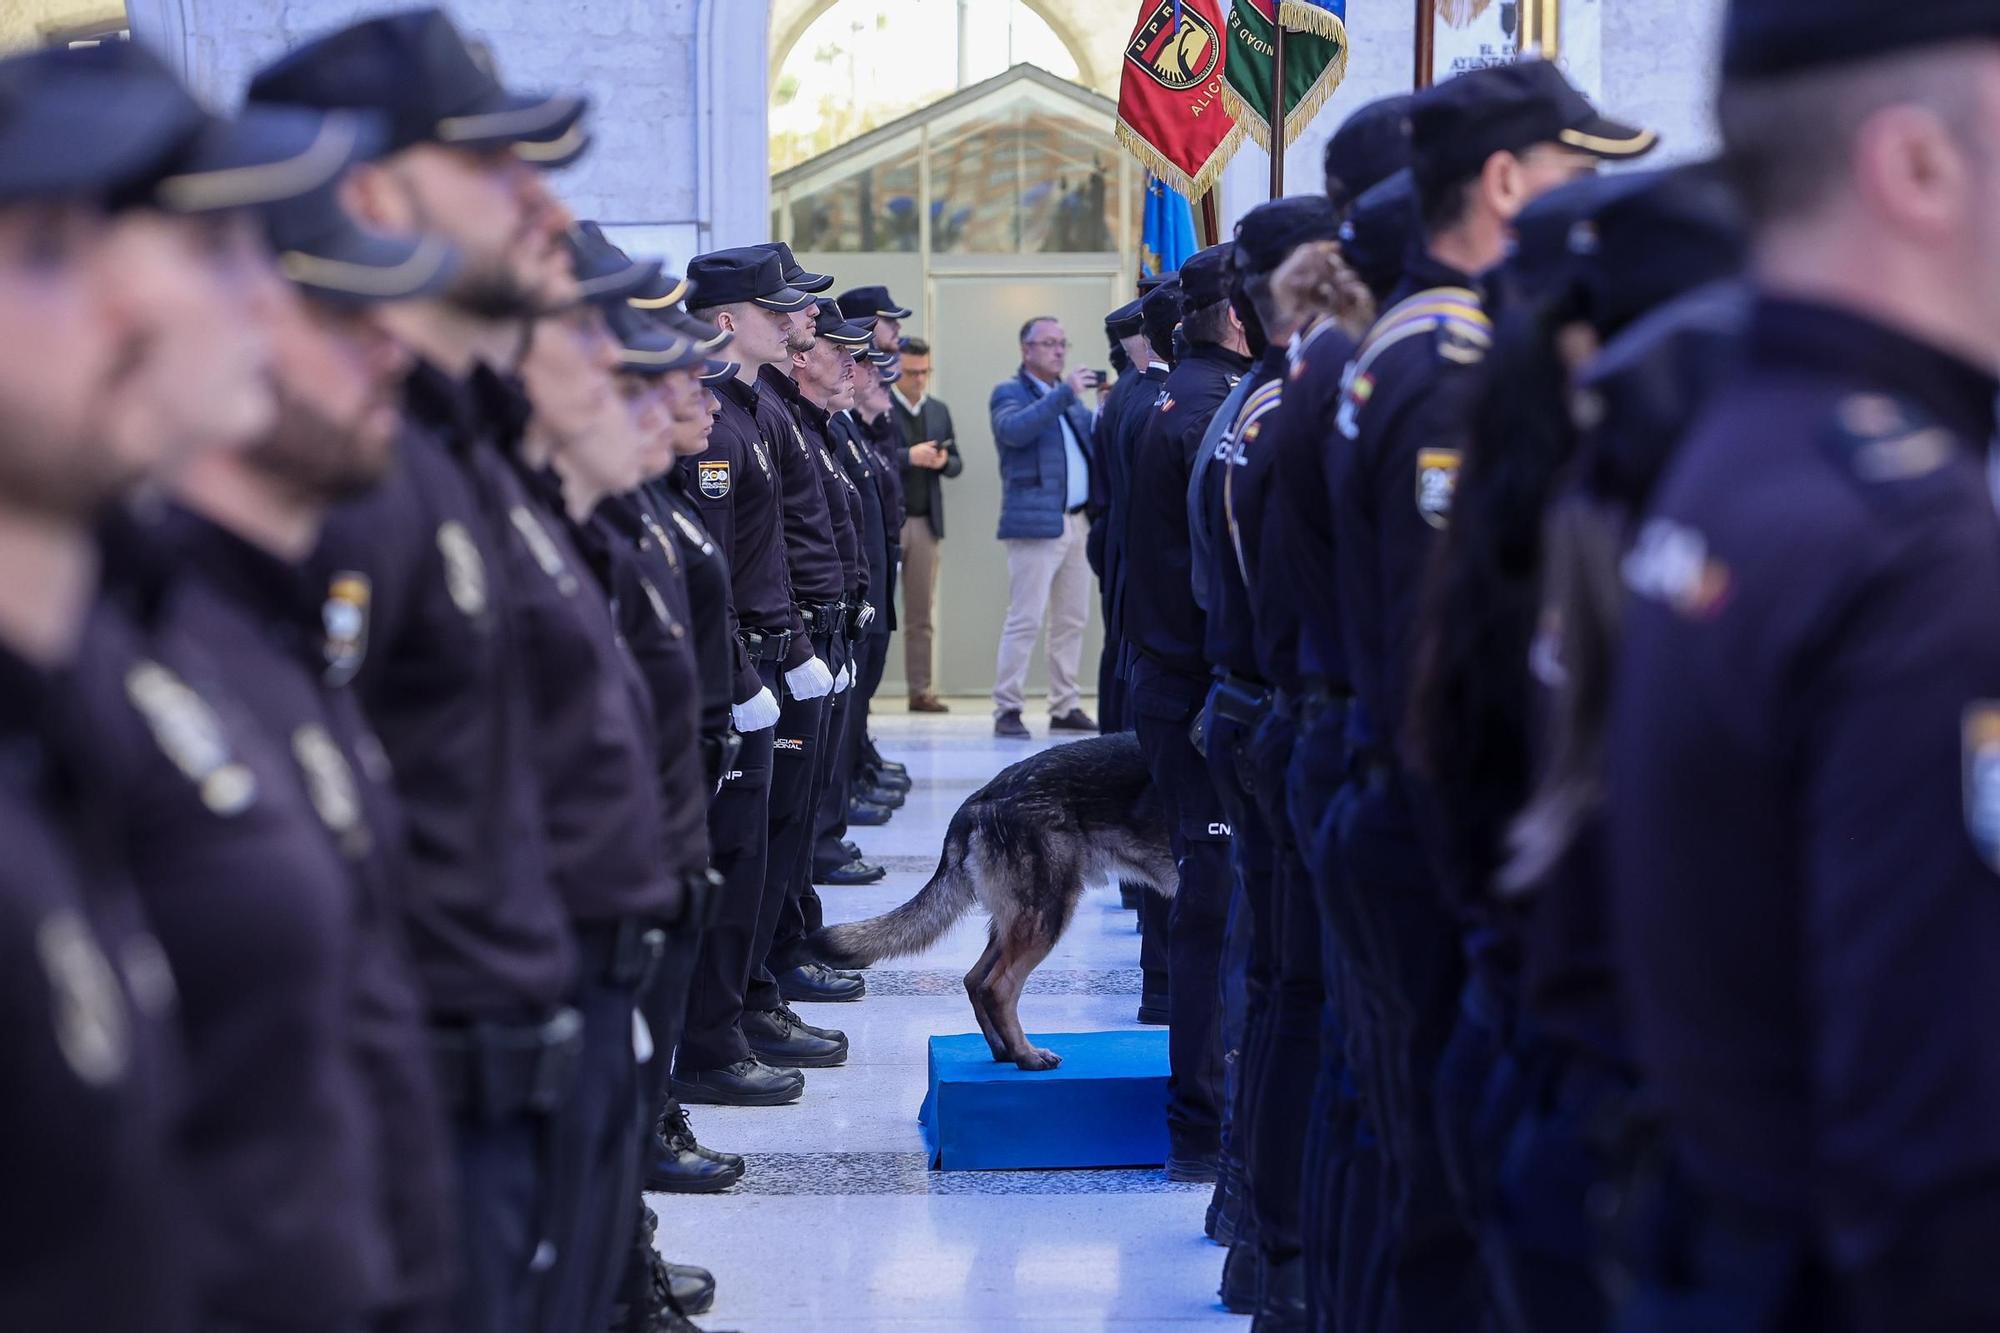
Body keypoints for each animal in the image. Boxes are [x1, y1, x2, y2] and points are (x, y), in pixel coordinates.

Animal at [808, 732, 1168, 1072]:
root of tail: (979, 799)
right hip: (1047, 914)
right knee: (998, 987)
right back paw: (1026, 1055)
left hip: (1016, 920)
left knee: (975, 980)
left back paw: (1003, 1049)